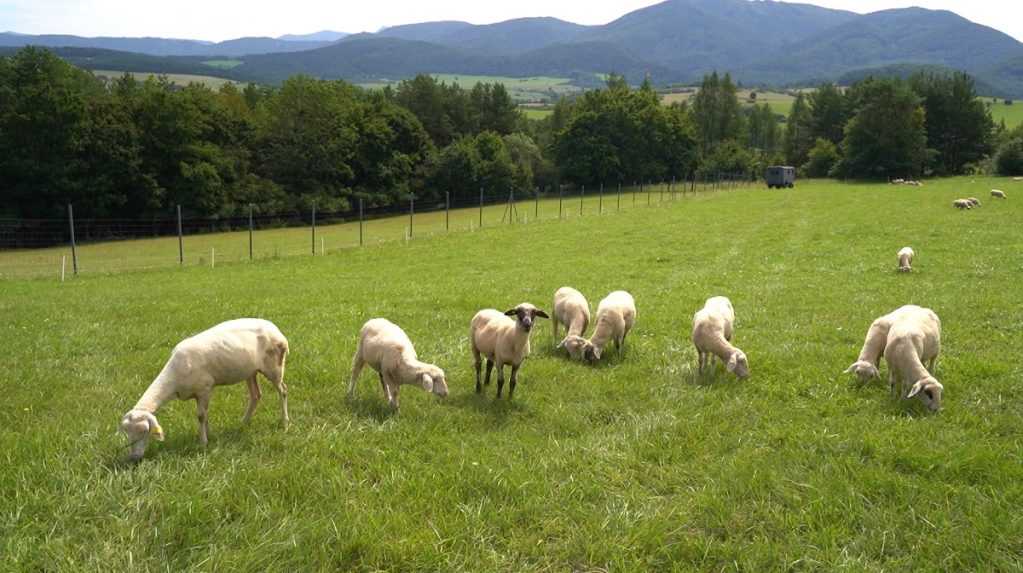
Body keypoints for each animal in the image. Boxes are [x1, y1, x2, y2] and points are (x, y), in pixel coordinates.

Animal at [118, 317, 292, 460]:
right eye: (127, 433)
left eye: (144, 431)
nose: (134, 458)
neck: (174, 378)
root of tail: (276, 330)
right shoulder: (200, 393)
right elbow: (206, 415)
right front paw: (209, 434)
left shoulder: (205, 388)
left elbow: (201, 416)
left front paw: (203, 442)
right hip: (250, 371)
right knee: (256, 395)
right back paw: (243, 422)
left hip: (274, 366)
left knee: (283, 390)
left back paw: (285, 422)